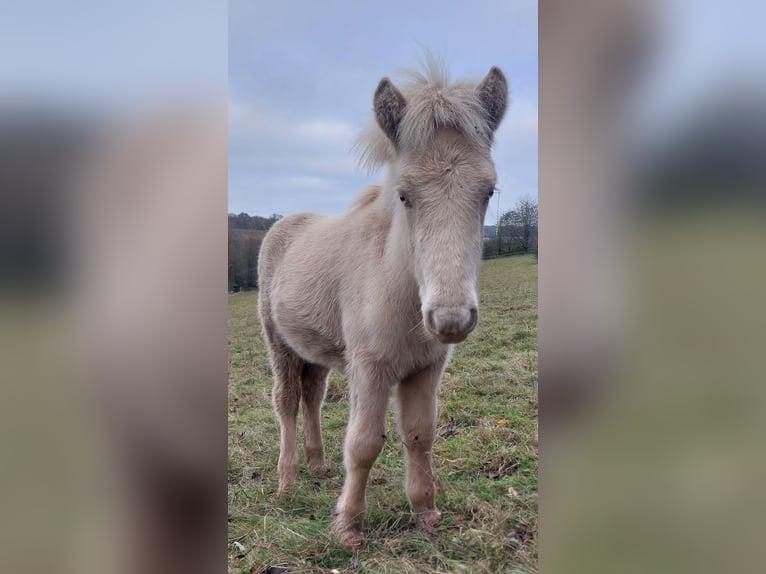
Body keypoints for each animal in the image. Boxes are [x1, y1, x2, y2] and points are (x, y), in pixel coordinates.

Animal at [260, 63, 510, 548]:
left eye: (488, 191)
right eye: (404, 195)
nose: (450, 320)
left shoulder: (424, 368)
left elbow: (419, 435)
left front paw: (426, 512)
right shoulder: (369, 367)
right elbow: (363, 444)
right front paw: (349, 528)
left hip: (314, 348)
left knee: (312, 395)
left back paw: (317, 466)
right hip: (278, 342)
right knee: (287, 401)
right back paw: (287, 482)